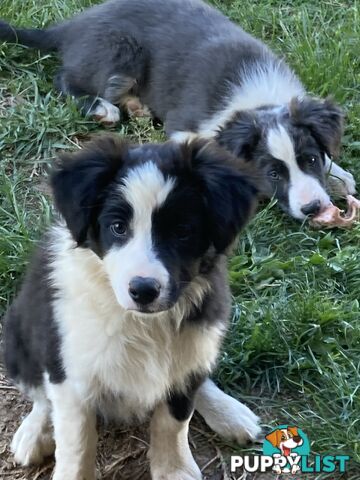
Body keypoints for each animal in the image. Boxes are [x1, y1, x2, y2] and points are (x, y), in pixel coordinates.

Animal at [0, 0, 354, 218]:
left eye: (310, 159)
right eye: (273, 174)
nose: (313, 208)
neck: (257, 104)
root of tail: (73, 25)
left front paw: (340, 176)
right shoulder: (187, 125)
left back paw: (136, 106)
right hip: (121, 51)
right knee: (65, 78)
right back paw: (103, 108)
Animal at [4, 137, 260, 480]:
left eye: (183, 231)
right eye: (117, 227)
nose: (143, 290)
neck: (140, 322)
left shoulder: (195, 337)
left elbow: (173, 420)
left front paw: (174, 470)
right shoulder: (72, 371)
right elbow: (76, 441)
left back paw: (228, 412)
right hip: (17, 335)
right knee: (41, 395)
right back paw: (34, 432)